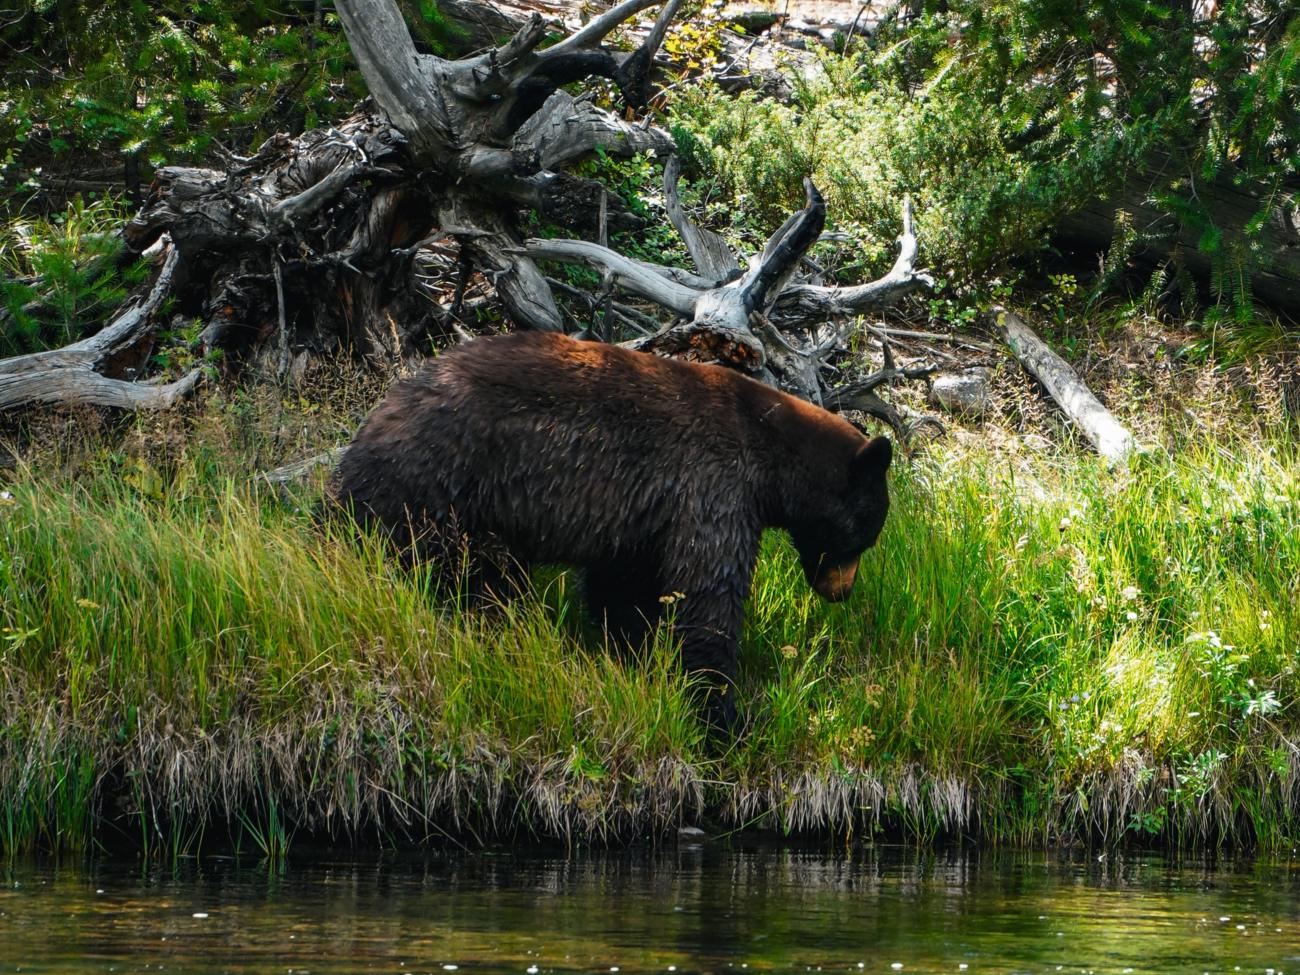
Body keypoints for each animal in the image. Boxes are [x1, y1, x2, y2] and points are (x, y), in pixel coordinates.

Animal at [332, 331, 892, 733]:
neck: (770, 455)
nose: (842, 592)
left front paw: (627, 655)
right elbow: (708, 591)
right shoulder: (713, 485)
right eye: (865, 537)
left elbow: (624, 586)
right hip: (437, 478)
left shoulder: (643, 516)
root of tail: (382, 410)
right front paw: (725, 714)